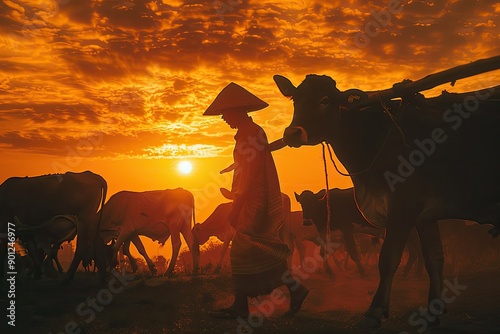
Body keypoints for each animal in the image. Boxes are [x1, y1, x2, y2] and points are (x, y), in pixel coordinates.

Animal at [274, 73, 500, 328]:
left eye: (324, 100)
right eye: (295, 99)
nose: (292, 134)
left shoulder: (402, 207)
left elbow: (387, 259)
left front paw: (375, 311)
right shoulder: (425, 215)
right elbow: (434, 258)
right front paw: (433, 311)